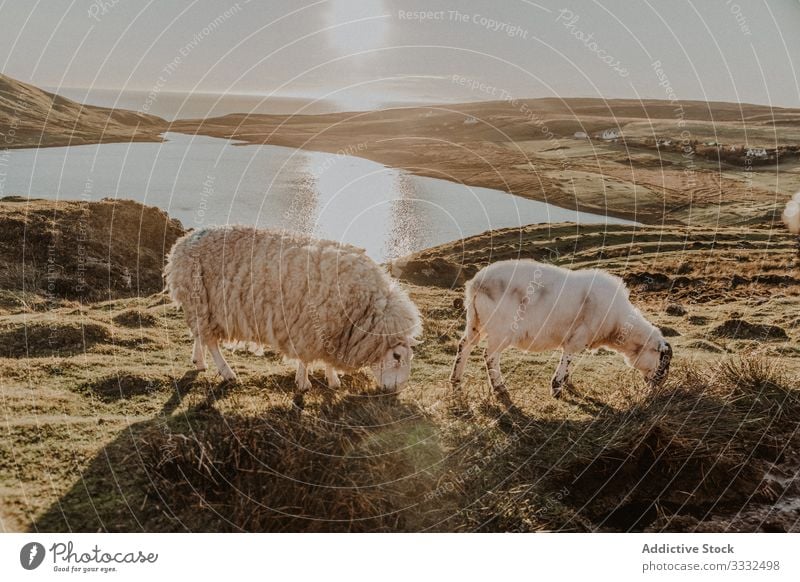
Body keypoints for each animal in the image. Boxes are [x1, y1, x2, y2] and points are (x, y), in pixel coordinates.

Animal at [165, 226, 422, 408]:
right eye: (397, 356)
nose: (396, 391)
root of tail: (181, 243)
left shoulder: (332, 331)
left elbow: (327, 360)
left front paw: (333, 380)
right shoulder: (311, 327)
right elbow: (305, 360)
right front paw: (304, 383)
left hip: (202, 306)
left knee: (200, 335)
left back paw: (199, 361)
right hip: (201, 299)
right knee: (211, 342)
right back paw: (227, 372)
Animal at [454, 262, 672, 408]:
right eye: (663, 360)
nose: (658, 389)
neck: (619, 326)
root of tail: (476, 283)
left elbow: (569, 363)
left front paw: (567, 383)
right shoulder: (576, 338)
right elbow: (566, 360)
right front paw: (557, 388)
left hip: (475, 322)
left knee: (464, 345)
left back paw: (455, 380)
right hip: (501, 329)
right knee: (489, 356)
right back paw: (500, 388)